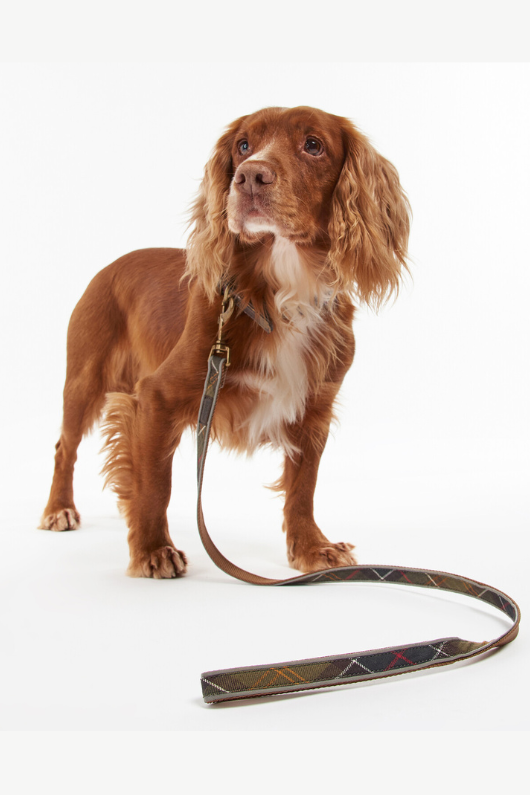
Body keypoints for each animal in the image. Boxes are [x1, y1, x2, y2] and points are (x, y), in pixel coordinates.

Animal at [39, 105, 410, 580]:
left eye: (313, 145)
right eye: (243, 146)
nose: (250, 176)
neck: (282, 293)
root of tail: (110, 266)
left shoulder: (315, 410)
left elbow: (303, 488)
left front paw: (312, 548)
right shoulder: (156, 396)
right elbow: (156, 484)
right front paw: (153, 550)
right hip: (84, 380)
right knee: (64, 447)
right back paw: (59, 509)